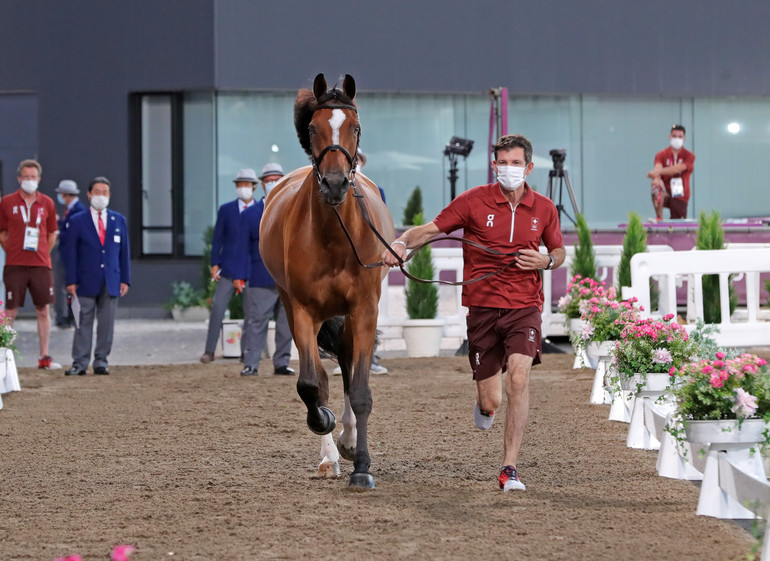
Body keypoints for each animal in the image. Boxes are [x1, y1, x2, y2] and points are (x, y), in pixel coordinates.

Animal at [260, 73, 392, 486]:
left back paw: (349, 442)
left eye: (356, 127)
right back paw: (331, 452)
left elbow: (361, 389)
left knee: (348, 364)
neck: (334, 236)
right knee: (324, 376)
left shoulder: (364, 308)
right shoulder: (303, 311)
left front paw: (362, 466)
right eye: (313, 128)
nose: (334, 184)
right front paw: (325, 424)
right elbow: (311, 384)